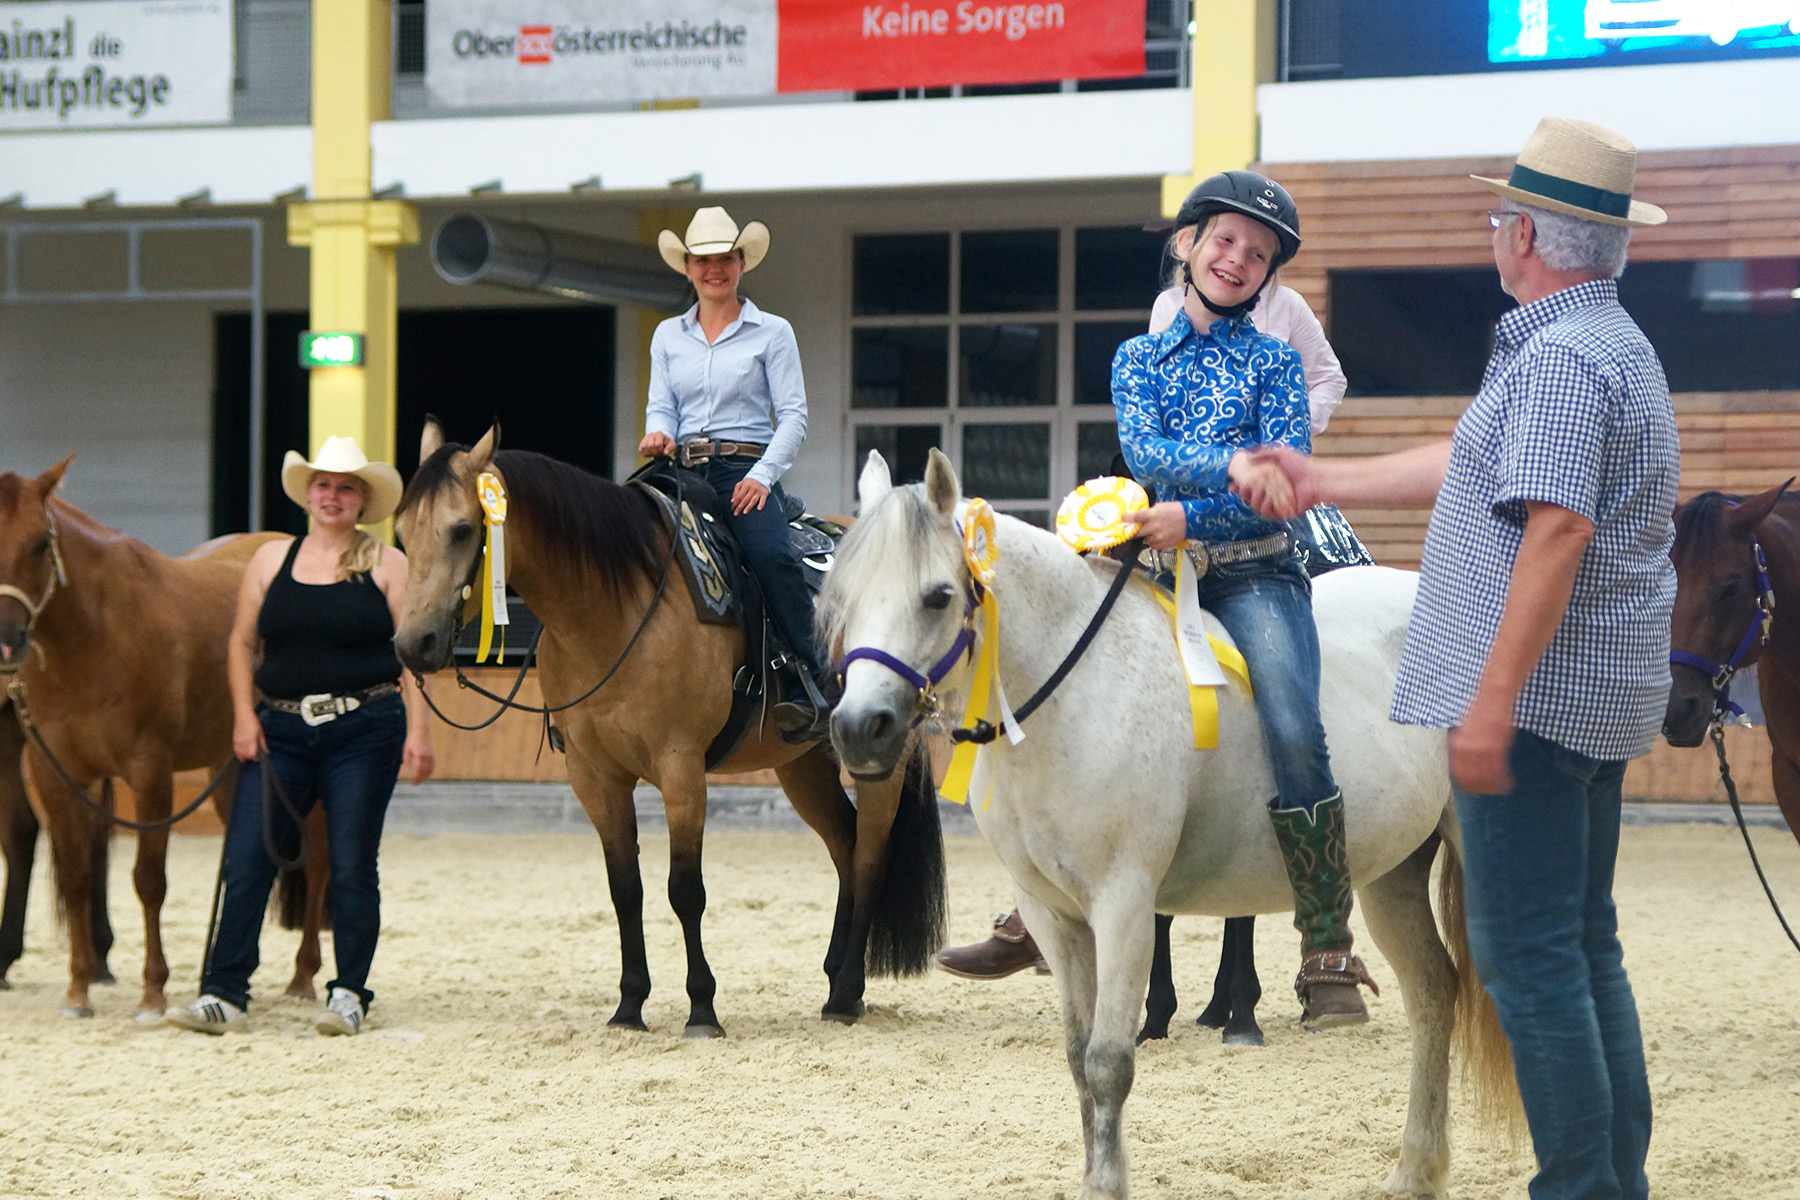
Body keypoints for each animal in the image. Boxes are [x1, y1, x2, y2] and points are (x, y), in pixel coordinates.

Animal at [0, 456, 327, 1014]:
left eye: (41, 543)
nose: (5, 640)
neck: (94, 636)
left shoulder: (149, 770)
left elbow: (148, 880)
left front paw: (153, 993)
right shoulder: (55, 772)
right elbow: (76, 875)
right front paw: (79, 989)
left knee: (321, 862)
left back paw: (303, 978)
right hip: (234, 766)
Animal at [392, 422, 943, 1036]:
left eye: (463, 529)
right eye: (401, 533)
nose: (413, 644)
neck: (615, 608)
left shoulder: (681, 770)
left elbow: (685, 891)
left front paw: (702, 1008)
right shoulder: (594, 777)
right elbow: (624, 890)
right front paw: (629, 1006)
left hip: (881, 755)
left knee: (869, 855)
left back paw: (846, 993)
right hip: (802, 765)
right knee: (845, 848)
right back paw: (836, 985)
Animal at [824, 449, 1512, 1200]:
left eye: (938, 596)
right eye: (842, 595)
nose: (860, 729)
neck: (1070, 694)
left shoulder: (1123, 904)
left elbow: (1109, 1063)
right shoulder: (1052, 914)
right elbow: (1078, 1058)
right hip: (1392, 871)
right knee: (1434, 991)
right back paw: (1415, 1171)